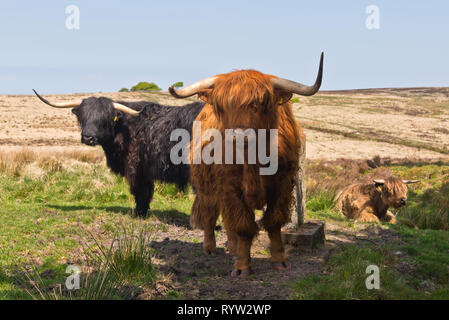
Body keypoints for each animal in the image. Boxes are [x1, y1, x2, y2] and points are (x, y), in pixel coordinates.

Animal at [32, 89, 203, 216]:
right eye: (82, 117)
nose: (88, 137)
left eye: (104, 118)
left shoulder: (135, 168)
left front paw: (139, 213)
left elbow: (140, 191)